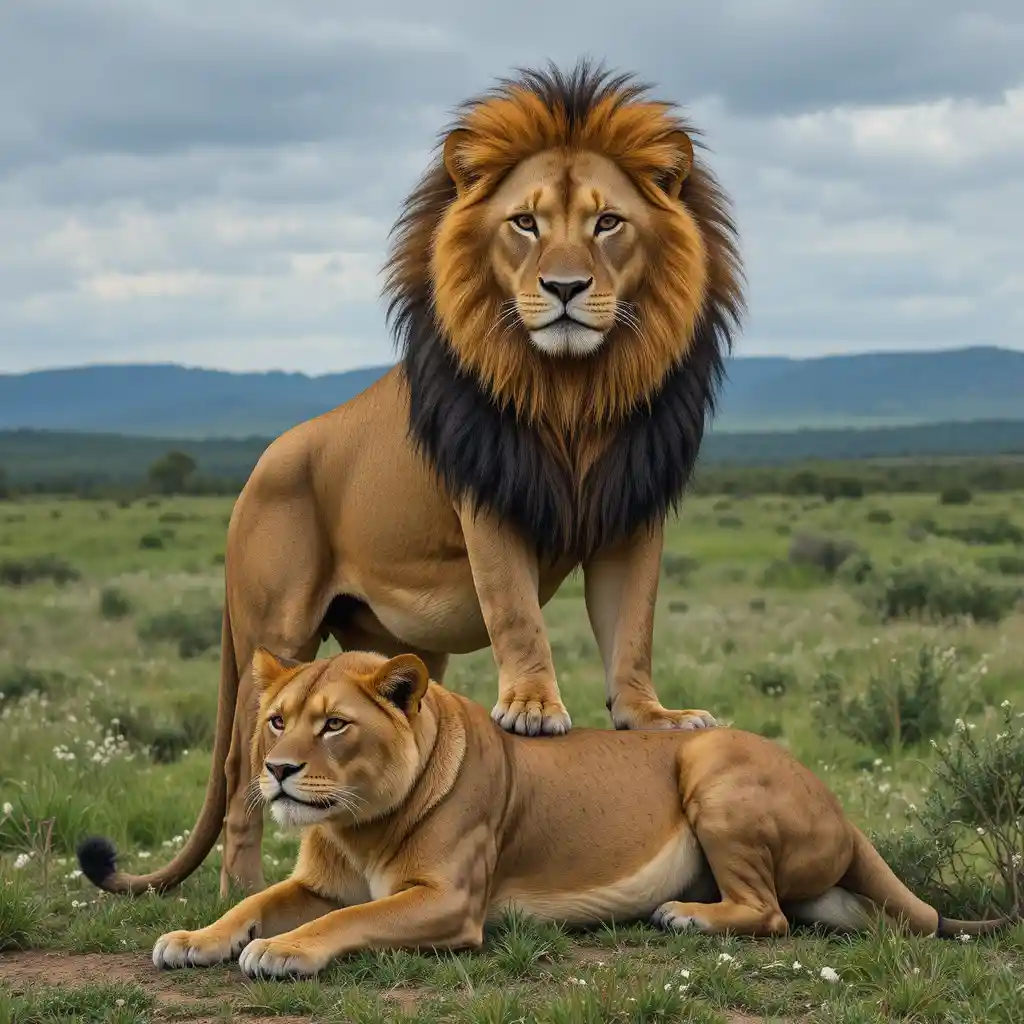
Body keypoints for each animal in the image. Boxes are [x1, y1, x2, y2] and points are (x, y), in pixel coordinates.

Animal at [78, 649, 1006, 979]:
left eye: (334, 724)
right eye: (276, 720)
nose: (275, 773)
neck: (359, 818)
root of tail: (842, 806)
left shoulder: (450, 904)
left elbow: (348, 921)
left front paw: (282, 953)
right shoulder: (316, 881)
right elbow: (254, 903)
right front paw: (193, 938)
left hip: (708, 764)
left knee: (769, 914)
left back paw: (684, 915)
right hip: (834, 897)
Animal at [79, 60, 744, 897]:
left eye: (607, 224)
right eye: (524, 223)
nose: (563, 289)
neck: (575, 393)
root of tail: (257, 470)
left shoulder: (630, 510)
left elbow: (632, 631)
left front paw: (651, 718)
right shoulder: (488, 506)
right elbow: (516, 613)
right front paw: (533, 709)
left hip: (401, 654)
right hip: (273, 632)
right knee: (241, 778)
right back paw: (245, 891)